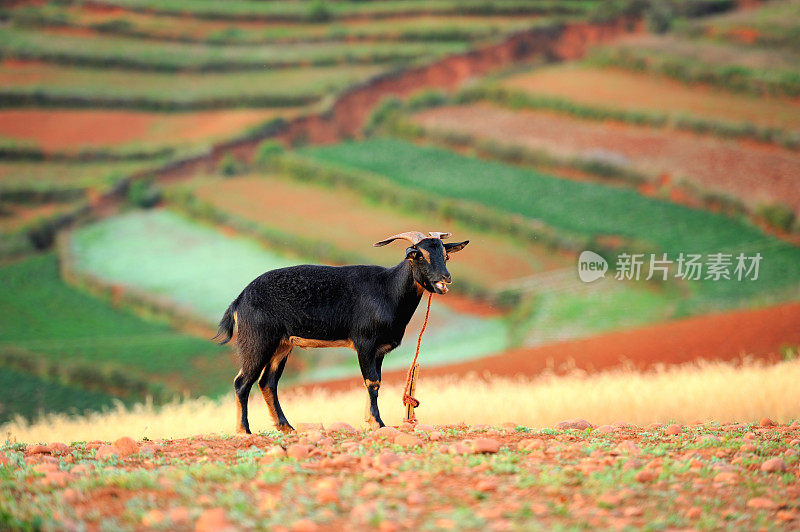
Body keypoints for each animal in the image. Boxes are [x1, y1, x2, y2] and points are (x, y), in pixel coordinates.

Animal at [216, 231, 468, 434]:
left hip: (282, 345)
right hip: (257, 340)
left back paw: (286, 427)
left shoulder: (380, 349)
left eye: (445, 255)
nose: (445, 279)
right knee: (242, 382)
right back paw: (244, 430)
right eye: (419, 256)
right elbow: (372, 382)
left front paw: (370, 421)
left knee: (267, 382)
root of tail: (239, 300)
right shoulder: (365, 342)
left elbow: (376, 382)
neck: (387, 290)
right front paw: (378, 423)